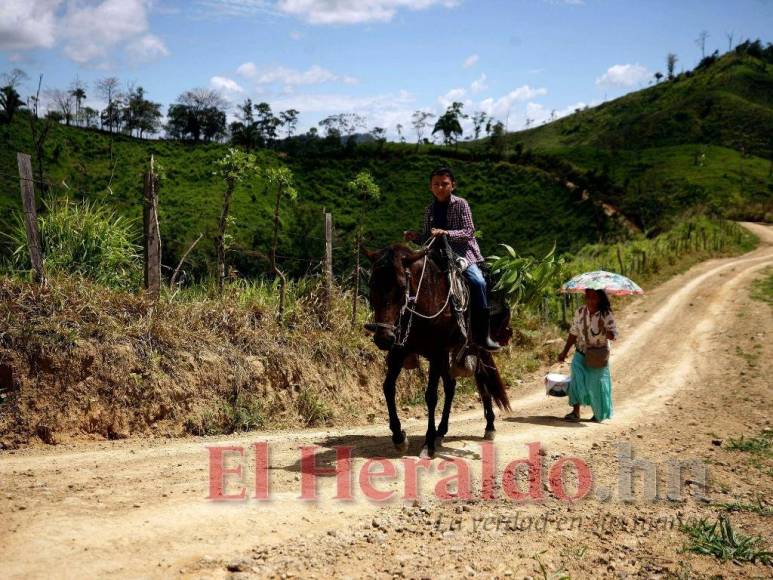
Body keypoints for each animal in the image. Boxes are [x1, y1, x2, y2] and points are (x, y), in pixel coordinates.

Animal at [364, 240, 510, 458]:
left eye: (401, 287)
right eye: (373, 285)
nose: (383, 338)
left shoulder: (435, 351)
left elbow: (431, 396)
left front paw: (428, 444)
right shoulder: (399, 350)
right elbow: (388, 387)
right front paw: (399, 437)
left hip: (476, 349)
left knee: (482, 382)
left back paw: (489, 426)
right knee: (451, 387)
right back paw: (442, 431)